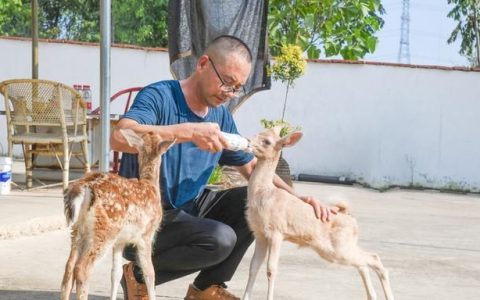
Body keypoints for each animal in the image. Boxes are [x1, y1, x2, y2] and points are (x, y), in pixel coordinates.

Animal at [59, 129, 173, 300]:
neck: (151, 186)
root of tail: (85, 187)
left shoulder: (121, 241)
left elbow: (115, 273)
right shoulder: (146, 235)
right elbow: (149, 273)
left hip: (78, 230)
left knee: (69, 267)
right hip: (105, 229)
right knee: (82, 268)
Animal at [244, 127, 394, 300]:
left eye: (267, 141)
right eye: (258, 132)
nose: (247, 141)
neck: (264, 194)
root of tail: (352, 220)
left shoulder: (276, 232)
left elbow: (271, 270)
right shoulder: (260, 233)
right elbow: (253, 267)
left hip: (339, 248)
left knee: (373, 260)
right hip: (341, 247)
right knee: (364, 263)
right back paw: (372, 296)